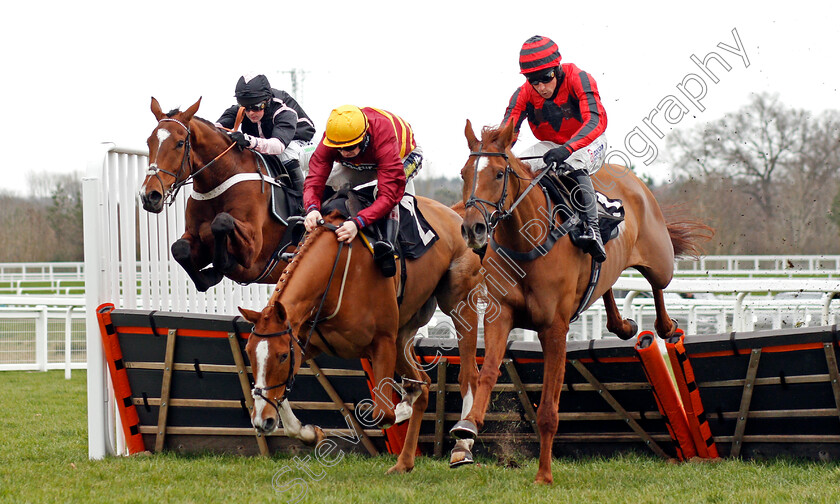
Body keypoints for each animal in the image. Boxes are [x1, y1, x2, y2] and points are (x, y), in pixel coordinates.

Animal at [139, 97, 294, 292]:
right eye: (149, 142)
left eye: (180, 143)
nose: (149, 195)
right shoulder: (194, 237)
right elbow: (179, 249)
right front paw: (210, 275)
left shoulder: (253, 248)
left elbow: (221, 222)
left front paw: (221, 267)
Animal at [238, 200, 486, 472]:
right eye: (249, 352)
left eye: (282, 356)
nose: (262, 420)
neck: (335, 276)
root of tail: (455, 214)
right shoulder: (306, 344)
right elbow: (282, 396)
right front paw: (309, 432)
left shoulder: (383, 343)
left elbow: (382, 413)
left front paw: (395, 407)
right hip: (403, 335)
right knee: (423, 384)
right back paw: (404, 462)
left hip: (459, 303)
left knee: (467, 375)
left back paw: (463, 441)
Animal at [450, 119, 712, 484]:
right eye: (463, 173)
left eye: (500, 174)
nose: (473, 229)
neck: (526, 242)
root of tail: (631, 180)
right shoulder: (500, 315)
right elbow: (486, 372)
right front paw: (468, 426)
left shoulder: (554, 328)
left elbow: (549, 408)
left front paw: (544, 475)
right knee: (607, 283)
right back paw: (623, 324)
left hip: (660, 260)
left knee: (658, 285)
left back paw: (665, 326)